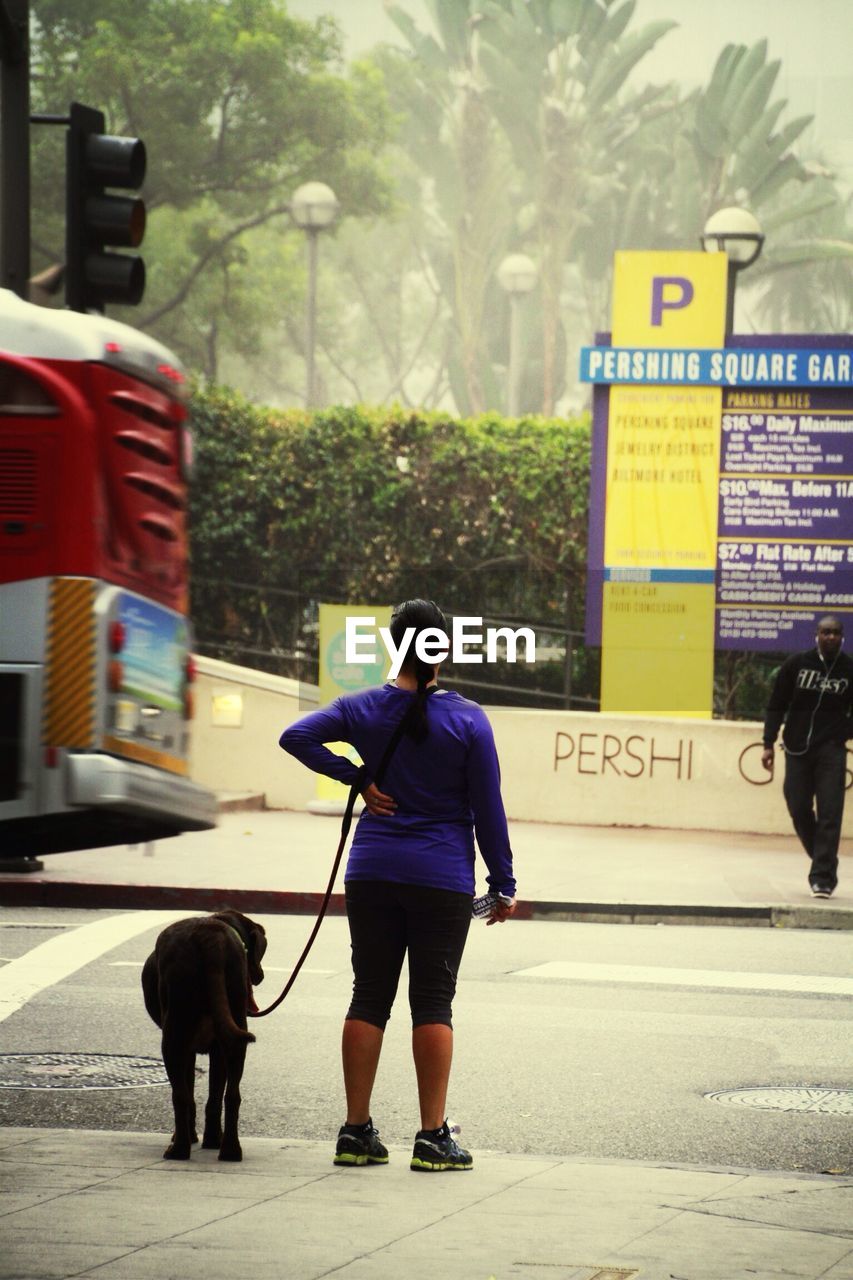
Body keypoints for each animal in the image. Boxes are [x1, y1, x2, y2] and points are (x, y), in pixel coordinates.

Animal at [140, 911, 266, 1162]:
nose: (261, 975)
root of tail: (210, 937)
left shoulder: (186, 1049)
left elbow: (188, 1092)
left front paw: (191, 1136)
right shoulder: (216, 1049)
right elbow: (213, 1095)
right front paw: (211, 1139)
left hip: (173, 1035)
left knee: (179, 1096)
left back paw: (179, 1149)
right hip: (234, 1032)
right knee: (231, 1095)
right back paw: (229, 1149)